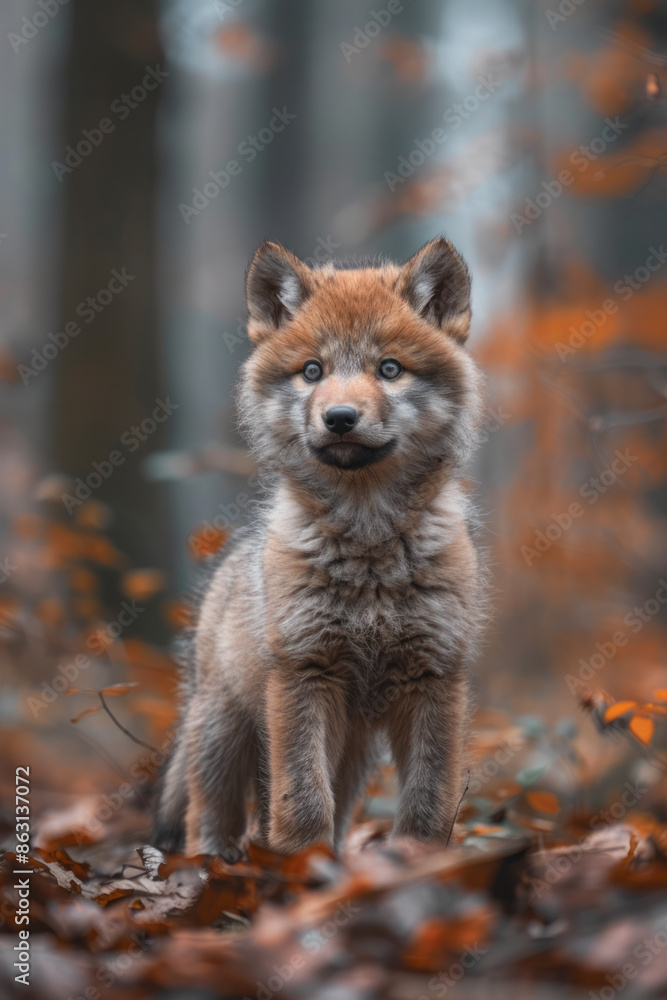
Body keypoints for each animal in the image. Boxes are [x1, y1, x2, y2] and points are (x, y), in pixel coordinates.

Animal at [156, 237, 485, 857]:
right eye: (313, 371)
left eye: (389, 369)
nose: (339, 418)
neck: (371, 554)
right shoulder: (304, 675)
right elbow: (303, 801)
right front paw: (298, 867)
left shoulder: (434, 678)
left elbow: (428, 803)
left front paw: (416, 864)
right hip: (222, 733)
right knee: (207, 816)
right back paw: (211, 864)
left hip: (353, 748)